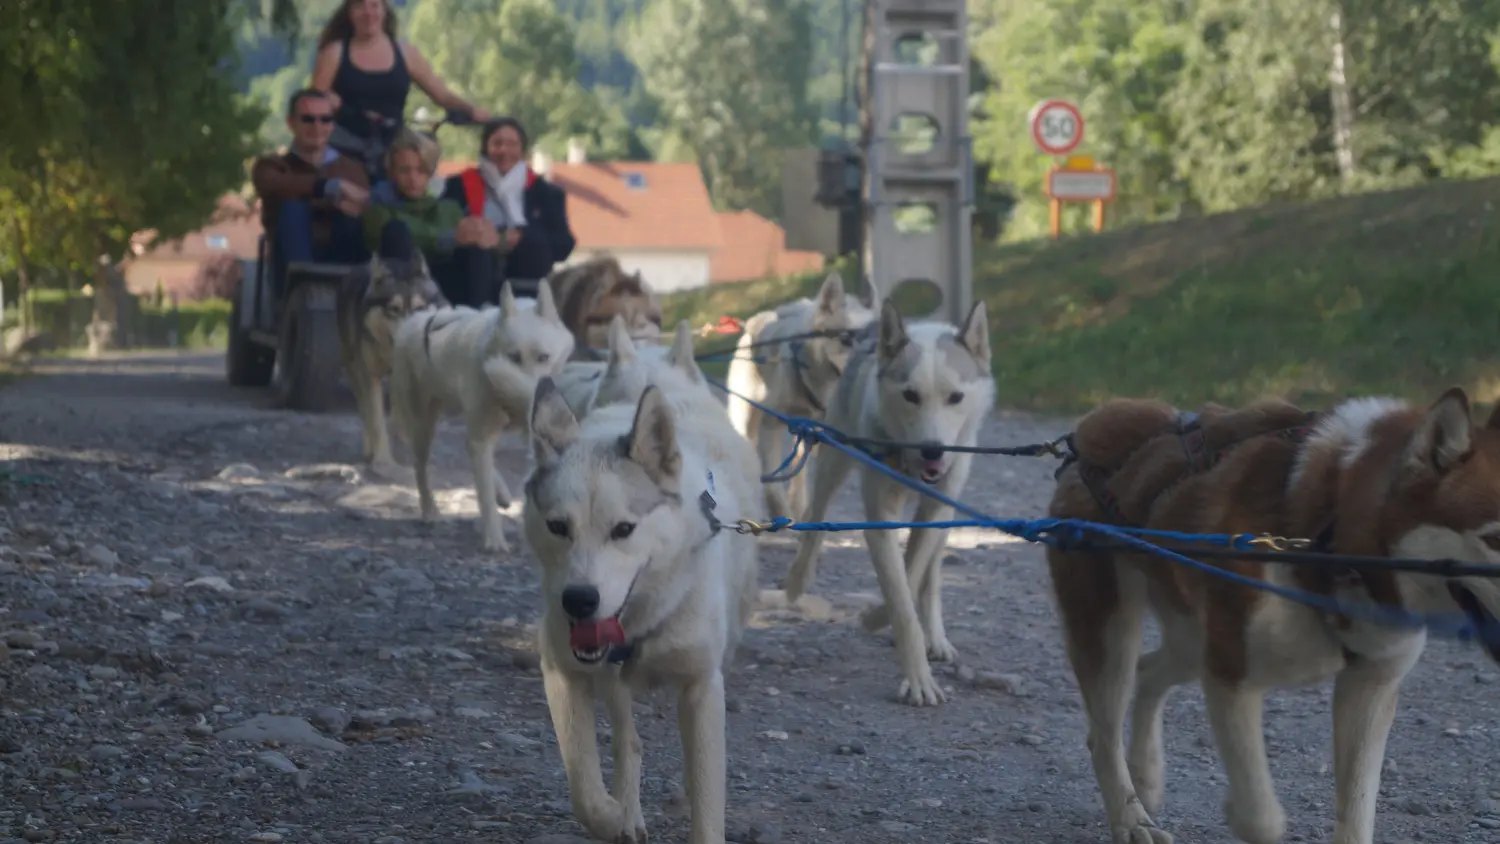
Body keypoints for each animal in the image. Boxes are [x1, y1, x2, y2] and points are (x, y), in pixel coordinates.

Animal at [387, 280, 573, 551]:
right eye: (513, 357)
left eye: (543, 357)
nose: (532, 396)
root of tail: (414, 321)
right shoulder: (482, 437)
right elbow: (484, 496)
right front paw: (495, 540)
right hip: (425, 427)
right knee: (422, 467)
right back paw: (430, 510)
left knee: (467, 448)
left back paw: (502, 493)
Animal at [528, 346, 762, 839]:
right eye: (558, 527)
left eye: (624, 529)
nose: (579, 599)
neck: (644, 622)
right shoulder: (562, 669)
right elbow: (584, 785)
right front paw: (613, 815)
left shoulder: (701, 686)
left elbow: (707, 796)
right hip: (613, 681)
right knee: (626, 739)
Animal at [786, 299, 996, 710]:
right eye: (910, 395)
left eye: (956, 397)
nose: (933, 451)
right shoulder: (879, 519)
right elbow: (900, 597)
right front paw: (917, 678)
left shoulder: (936, 509)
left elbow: (913, 574)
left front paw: (879, 618)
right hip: (835, 460)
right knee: (816, 517)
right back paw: (798, 577)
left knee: (931, 573)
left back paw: (936, 636)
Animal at [1050, 389, 1500, 844]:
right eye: (1495, 537)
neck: (1328, 529)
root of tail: (1098, 425)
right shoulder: (1232, 676)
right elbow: (1261, 818)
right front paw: (1237, 811)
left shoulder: (1370, 686)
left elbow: (1357, 812)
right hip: (1113, 634)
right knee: (1103, 735)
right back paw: (1130, 819)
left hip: (1192, 640)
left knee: (1147, 673)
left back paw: (1146, 774)